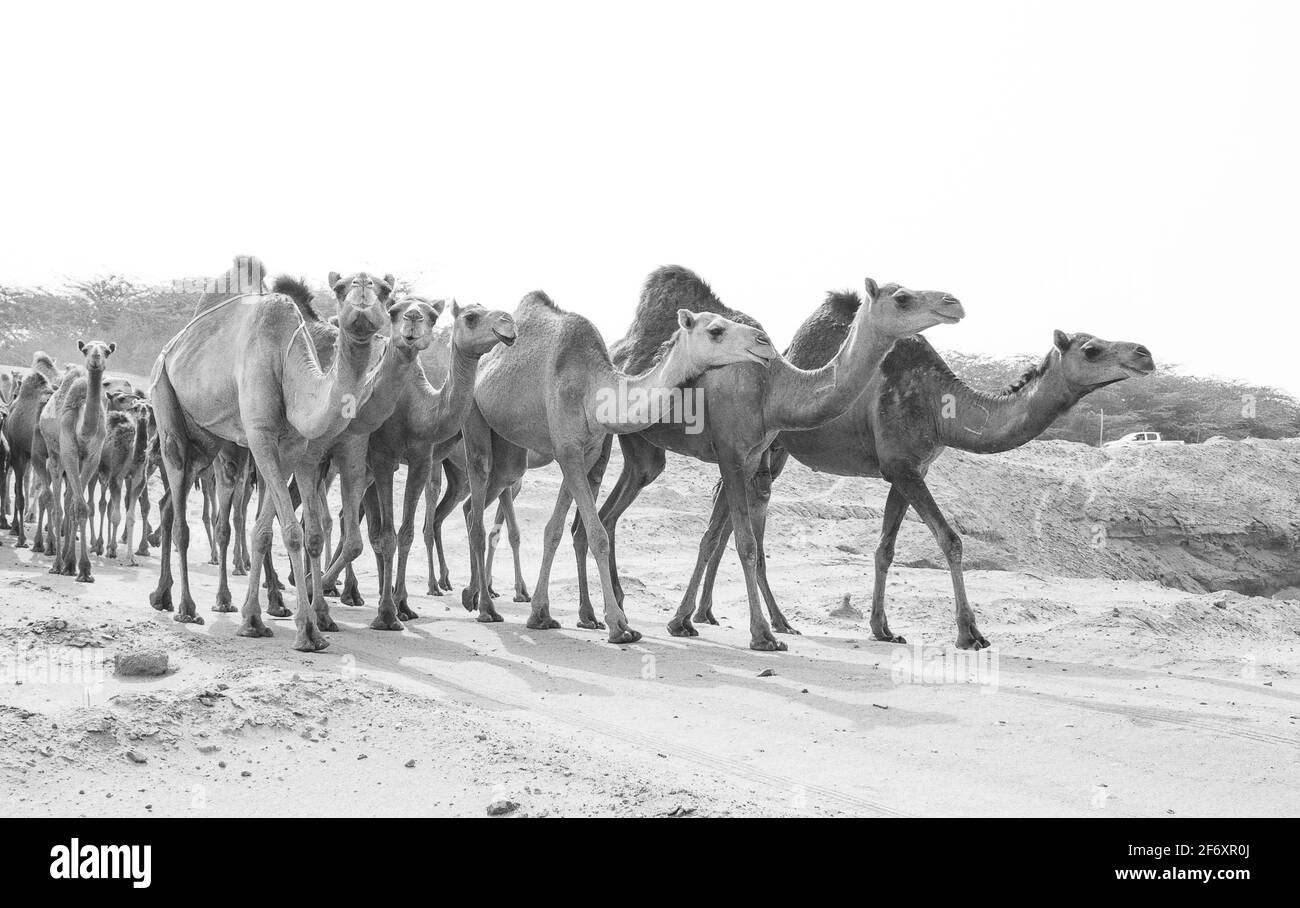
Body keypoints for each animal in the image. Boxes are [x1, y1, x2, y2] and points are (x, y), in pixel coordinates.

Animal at [462, 286, 774, 640]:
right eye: (716, 330)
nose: (764, 341)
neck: (593, 391)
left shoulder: (585, 453)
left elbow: (553, 529)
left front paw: (540, 614)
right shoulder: (567, 450)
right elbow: (597, 534)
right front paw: (618, 625)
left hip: (511, 446)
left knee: (484, 498)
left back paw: (473, 595)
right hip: (474, 418)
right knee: (476, 497)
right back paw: (483, 606)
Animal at [574, 265, 961, 647]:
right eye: (902, 298)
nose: (953, 302)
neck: (772, 388)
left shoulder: (749, 459)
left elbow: (726, 539)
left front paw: (688, 621)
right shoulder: (730, 453)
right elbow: (745, 543)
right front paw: (762, 634)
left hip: (643, 453)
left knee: (613, 506)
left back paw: (604, 611)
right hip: (606, 433)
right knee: (590, 515)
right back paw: (592, 615)